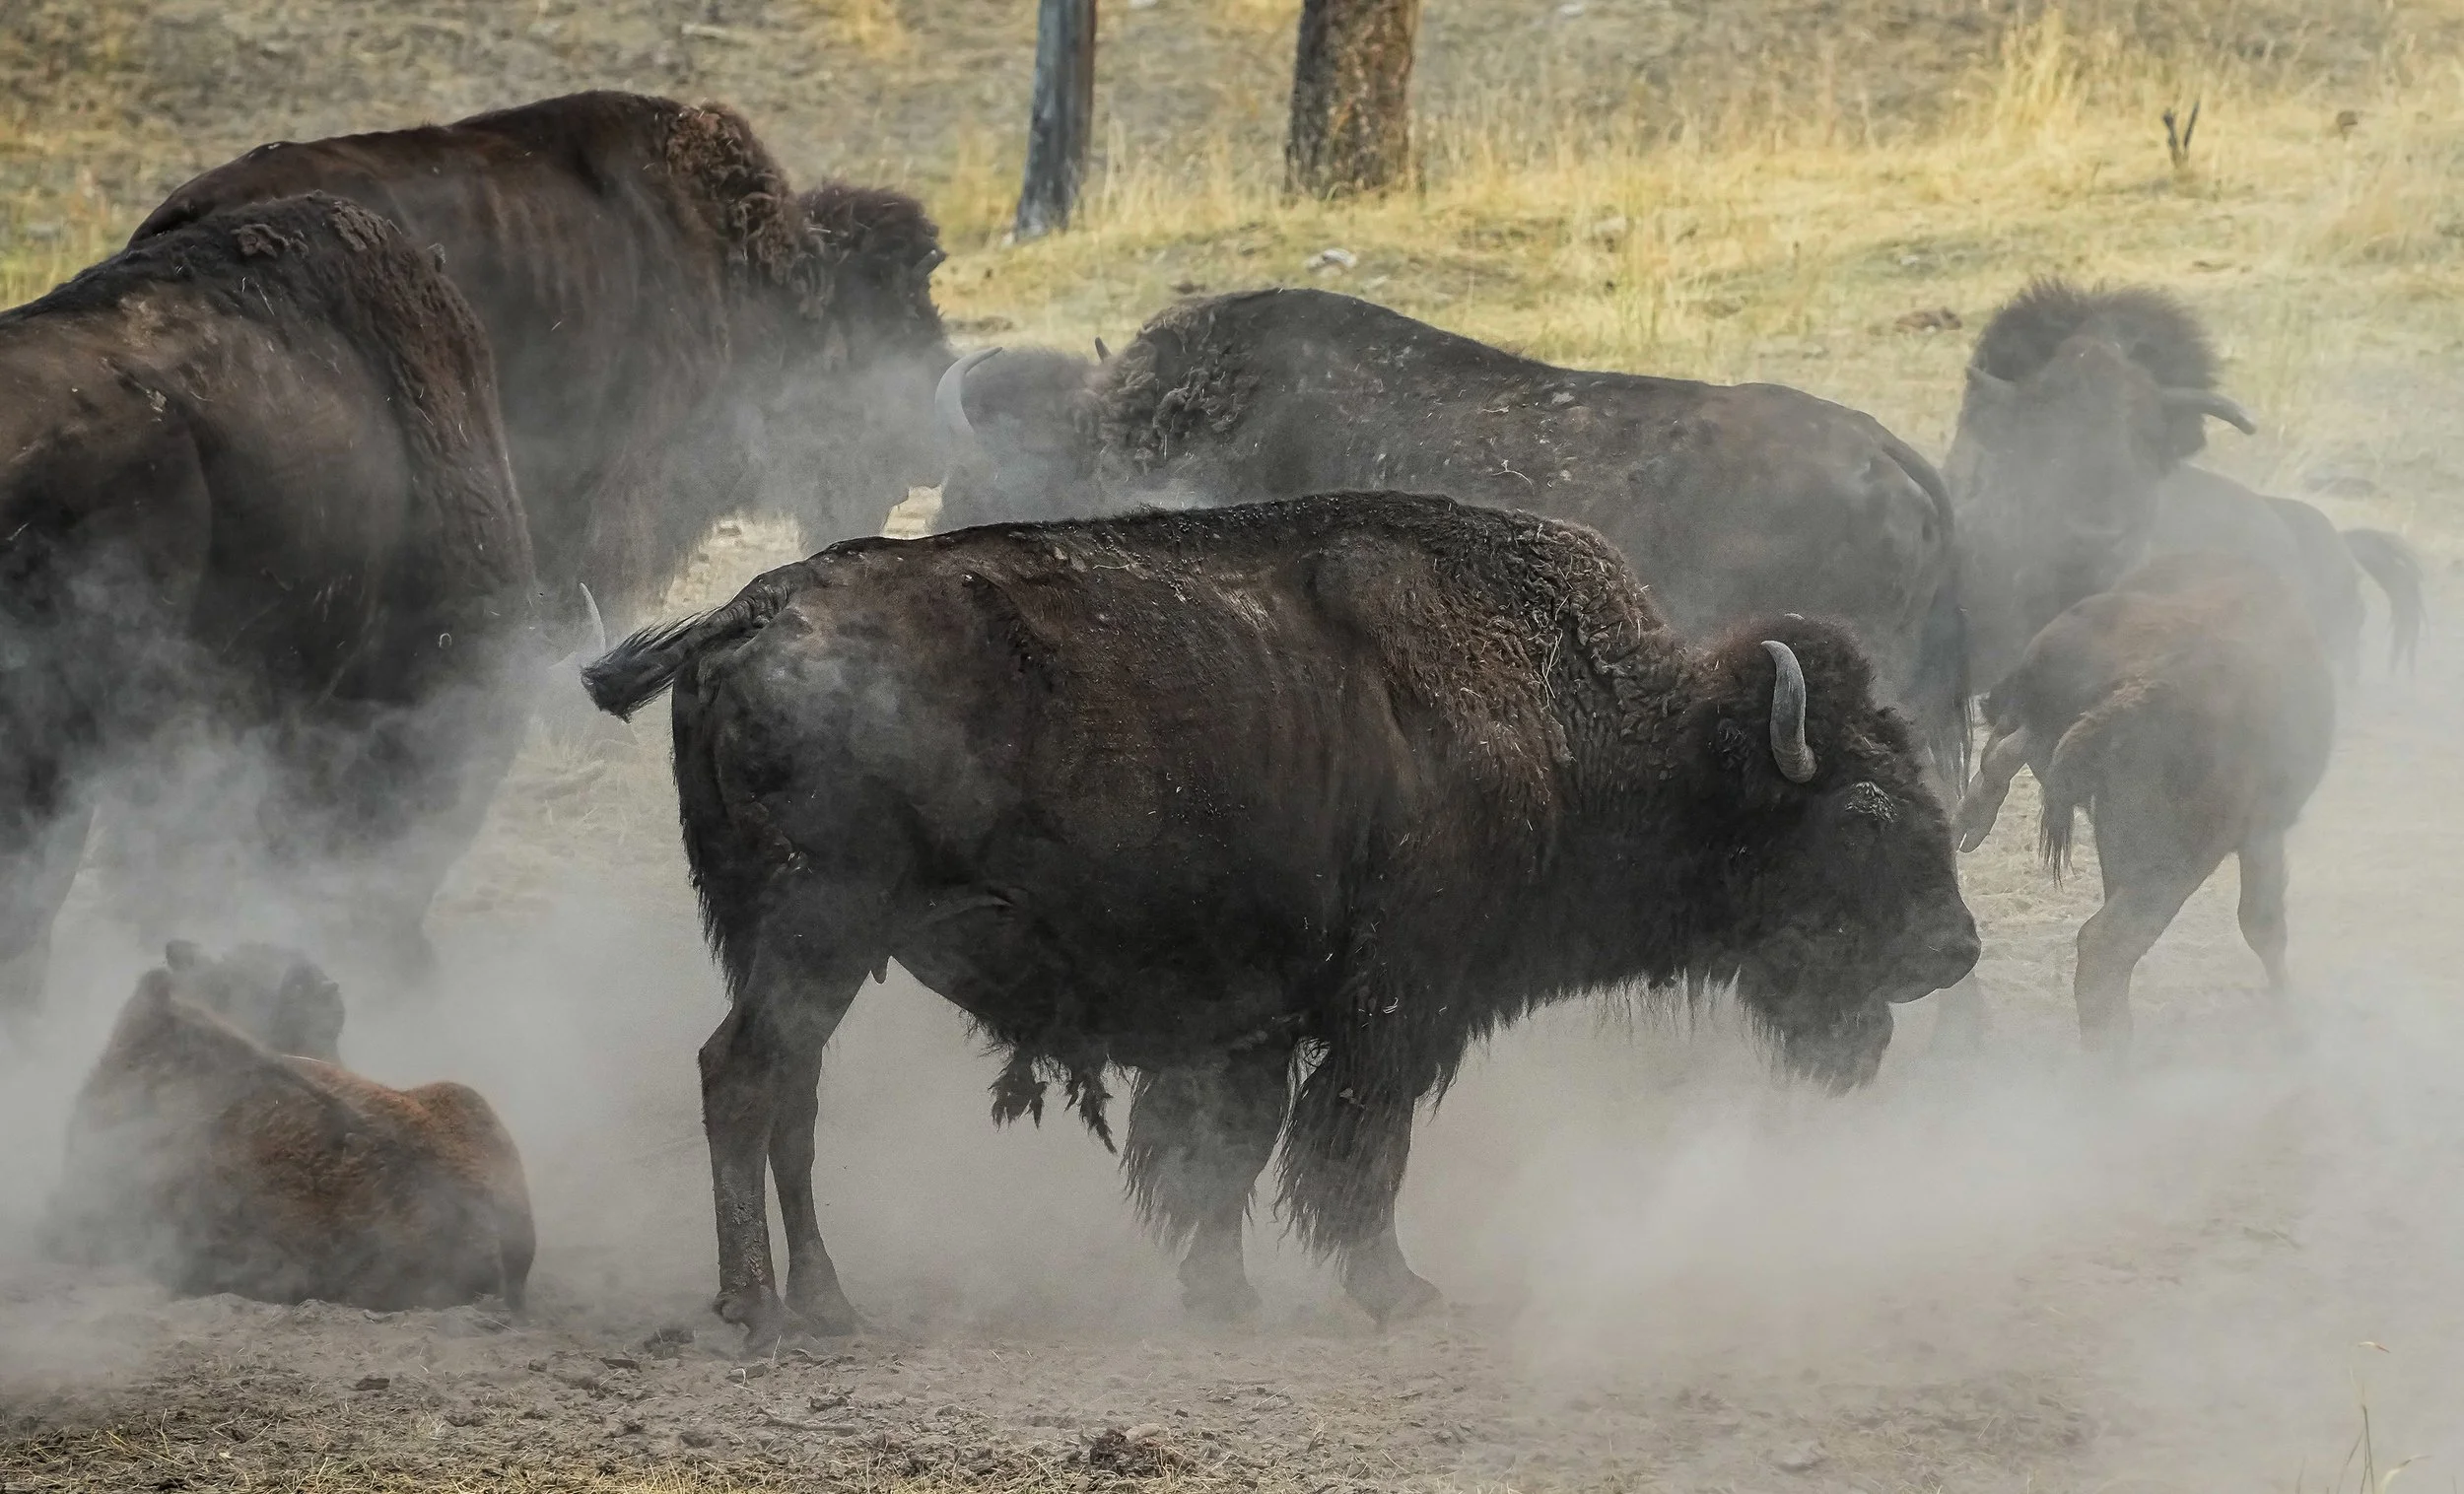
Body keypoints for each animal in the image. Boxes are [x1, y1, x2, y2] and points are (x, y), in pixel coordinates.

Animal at [583, 493, 1979, 1349]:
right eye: (1862, 812)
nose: (1955, 949)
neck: (1569, 712)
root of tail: (743, 616)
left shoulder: (1252, 1019)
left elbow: (1228, 1154)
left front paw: (1221, 1292)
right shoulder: (1394, 1010)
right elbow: (1354, 1153)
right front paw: (1398, 1291)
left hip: (805, 954)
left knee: (790, 1098)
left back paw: (826, 1304)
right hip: (816, 936)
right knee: (741, 1078)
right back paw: (764, 1310)